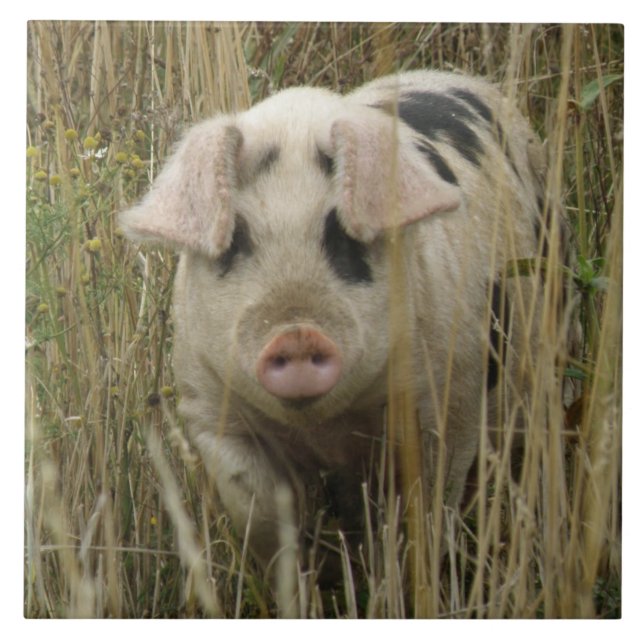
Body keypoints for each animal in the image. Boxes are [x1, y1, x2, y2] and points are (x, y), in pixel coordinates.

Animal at [120, 70, 553, 583]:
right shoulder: (210, 408)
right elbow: (259, 512)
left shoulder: (451, 397)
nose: (297, 334)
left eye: (343, 234)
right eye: (236, 239)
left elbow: (426, 509)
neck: (326, 430)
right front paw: (307, 577)